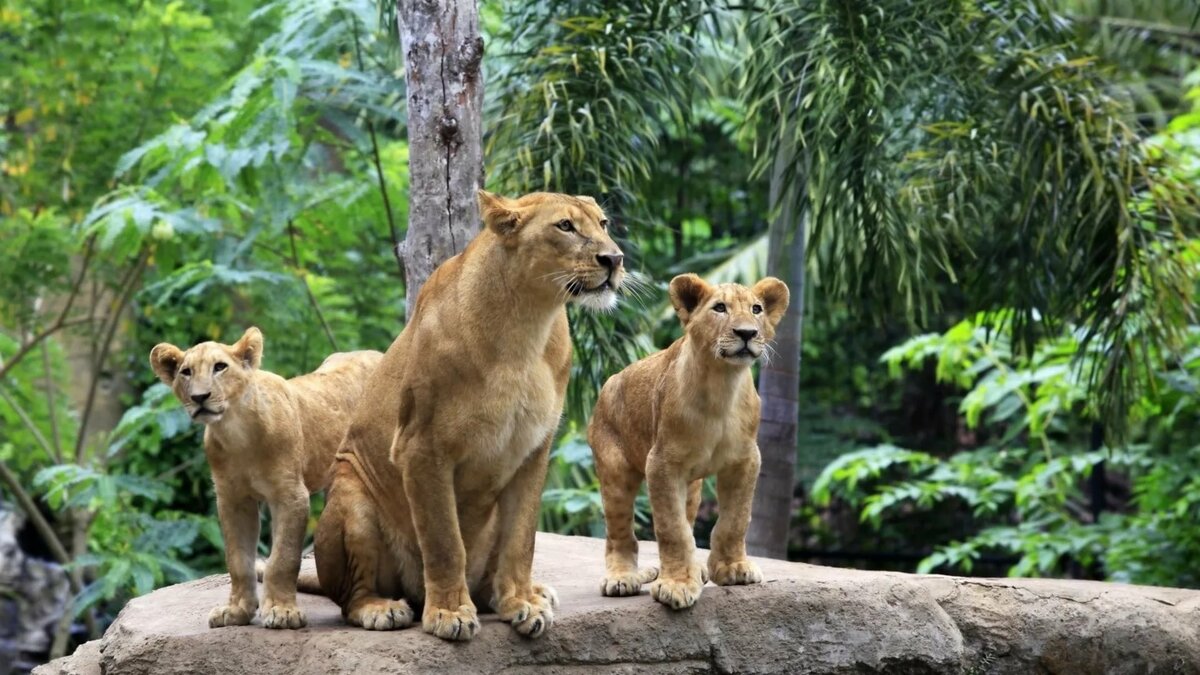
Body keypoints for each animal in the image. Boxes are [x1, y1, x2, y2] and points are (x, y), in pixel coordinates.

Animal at [149, 328, 382, 629]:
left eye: (220, 367)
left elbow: (283, 557)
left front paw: (283, 611)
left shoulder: (291, 495)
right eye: (186, 372)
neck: (236, 432)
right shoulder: (233, 499)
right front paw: (236, 611)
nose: (200, 397)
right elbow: (237, 560)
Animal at [313, 190, 624, 641]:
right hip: (352, 495)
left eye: (603, 223)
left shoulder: (533, 450)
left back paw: (523, 593)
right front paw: (449, 613)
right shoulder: (421, 448)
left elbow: (522, 539)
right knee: (351, 595)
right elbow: (445, 541)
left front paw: (522, 604)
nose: (614, 259)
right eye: (565, 226)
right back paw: (382, 608)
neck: (527, 323)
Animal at [587, 273, 789, 609]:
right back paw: (621, 578)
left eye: (756, 309)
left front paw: (732, 568)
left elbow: (735, 519)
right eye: (719, 308)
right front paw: (678, 585)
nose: (747, 333)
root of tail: (609, 382)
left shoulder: (745, 460)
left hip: (693, 487)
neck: (722, 385)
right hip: (615, 471)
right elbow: (673, 529)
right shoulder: (661, 464)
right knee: (619, 532)